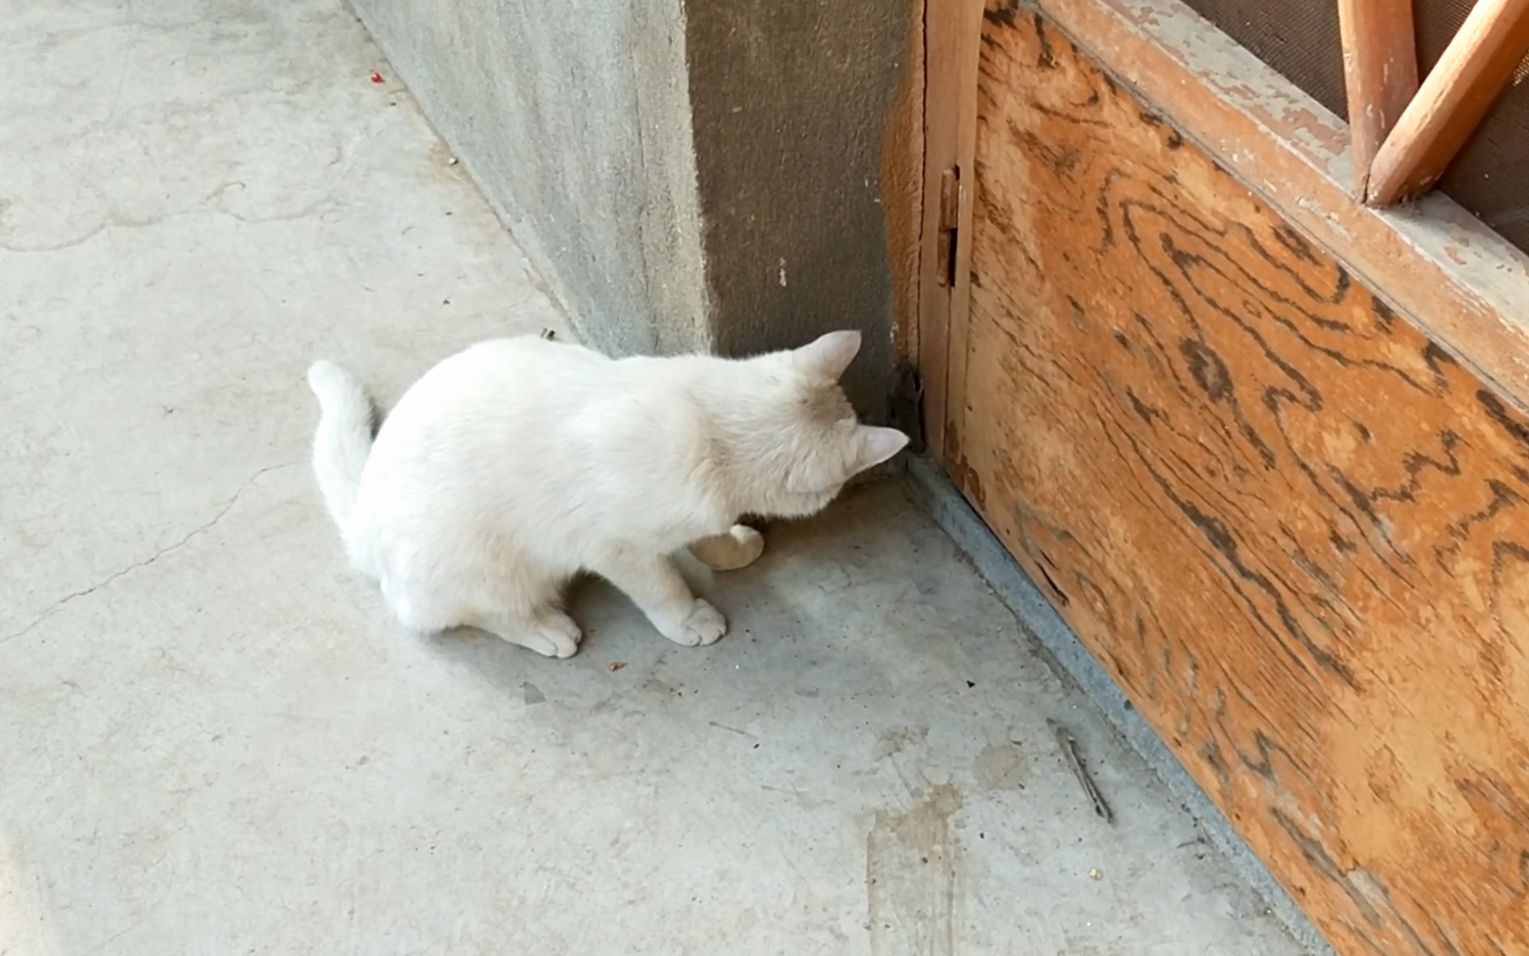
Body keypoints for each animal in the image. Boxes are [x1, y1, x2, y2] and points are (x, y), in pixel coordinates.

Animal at [307, 330, 905, 654]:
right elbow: (662, 585)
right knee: (450, 612)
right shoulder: (615, 548)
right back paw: (545, 628)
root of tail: (364, 524)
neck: (710, 424)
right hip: (486, 566)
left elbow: (707, 535)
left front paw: (733, 546)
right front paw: (687, 618)